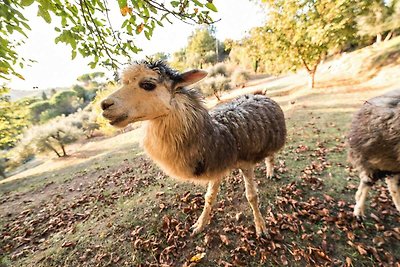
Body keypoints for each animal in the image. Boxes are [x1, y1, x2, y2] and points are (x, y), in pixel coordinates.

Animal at [101, 61, 286, 237]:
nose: (104, 104)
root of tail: (258, 94)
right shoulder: (217, 165)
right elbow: (209, 197)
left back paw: (270, 172)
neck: (217, 134)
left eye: (147, 84)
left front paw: (260, 227)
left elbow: (251, 196)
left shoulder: (245, 162)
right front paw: (199, 225)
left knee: (270, 155)